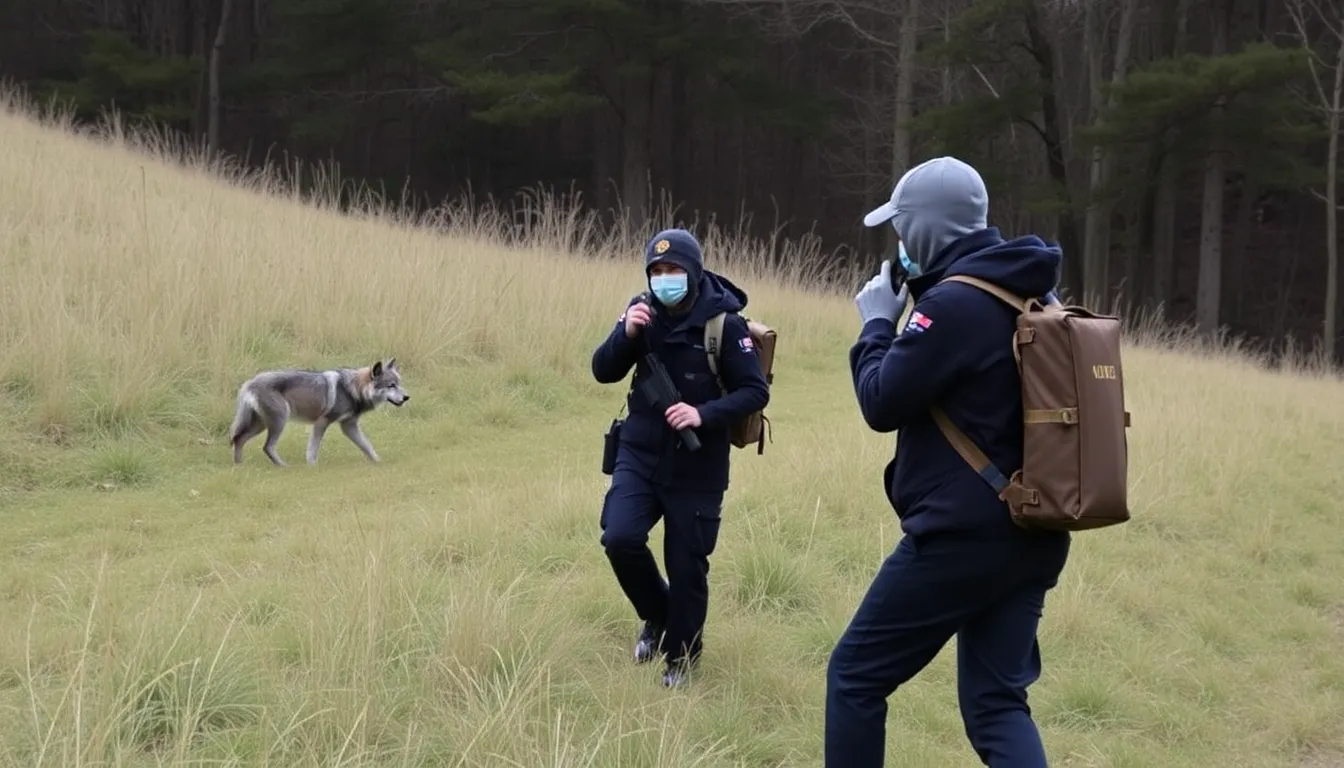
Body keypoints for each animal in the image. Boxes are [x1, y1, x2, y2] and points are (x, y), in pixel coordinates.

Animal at [228, 358, 409, 466]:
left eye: (399, 384)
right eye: (391, 385)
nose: (407, 397)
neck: (351, 389)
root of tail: (249, 383)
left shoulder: (349, 426)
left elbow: (367, 446)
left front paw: (377, 462)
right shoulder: (322, 422)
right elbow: (313, 449)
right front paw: (312, 466)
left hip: (261, 426)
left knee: (239, 439)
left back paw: (239, 465)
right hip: (279, 422)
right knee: (267, 447)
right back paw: (284, 466)